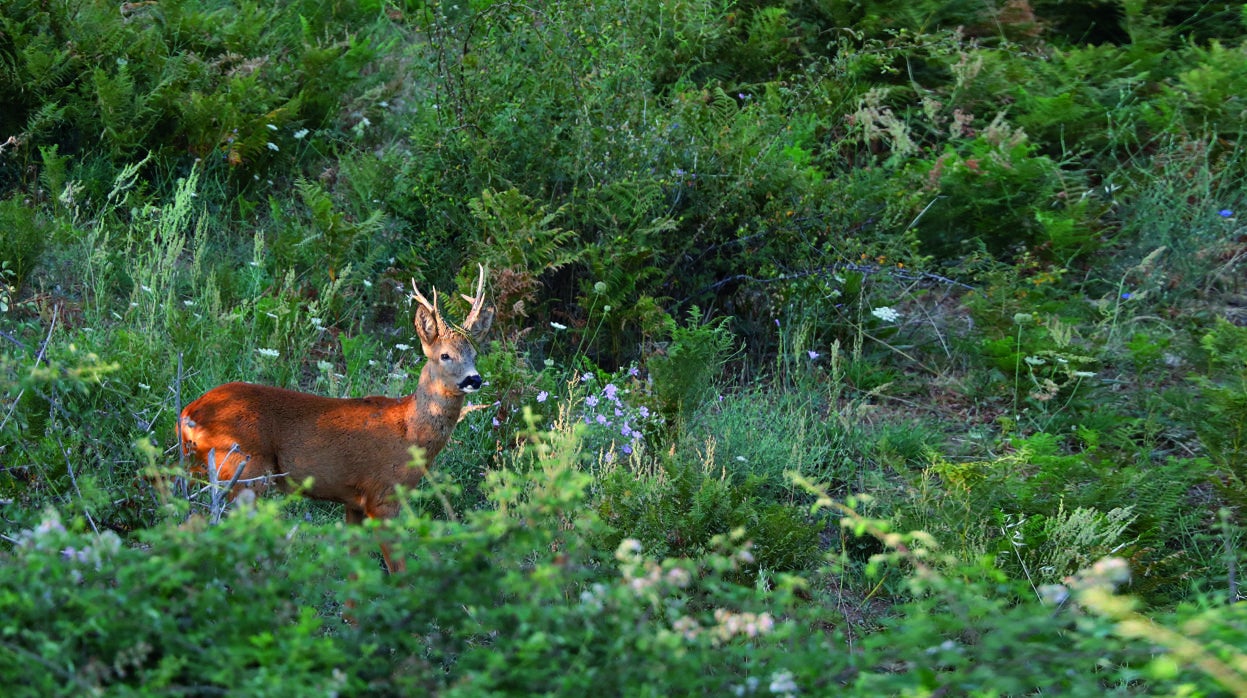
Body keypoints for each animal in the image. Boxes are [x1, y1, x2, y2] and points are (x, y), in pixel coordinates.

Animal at [178, 264, 493, 570]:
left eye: (475, 354)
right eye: (444, 355)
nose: (474, 379)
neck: (410, 433)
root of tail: (188, 413)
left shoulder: (353, 501)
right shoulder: (383, 495)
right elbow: (398, 569)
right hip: (243, 469)